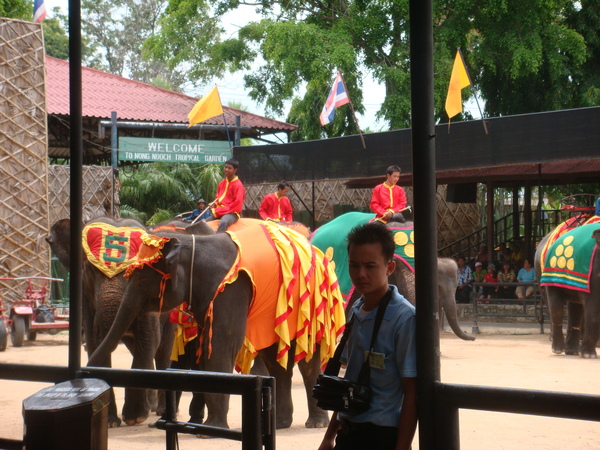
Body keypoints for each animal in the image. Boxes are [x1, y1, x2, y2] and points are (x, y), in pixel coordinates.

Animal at [45, 217, 177, 426]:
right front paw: (110, 422)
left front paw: (134, 418)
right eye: (89, 270)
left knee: (162, 350)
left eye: (137, 269)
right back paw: (151, 406)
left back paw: (161, 410)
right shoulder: (86, 299)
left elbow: (149, 340)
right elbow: (95, 343)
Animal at [86, 223, 344, 430]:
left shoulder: (230, 290)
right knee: (276, 362)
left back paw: (315, 424)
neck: (192, 244)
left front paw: (210, 429)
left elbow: (221, 346)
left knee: (308, 362)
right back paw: (280, 424)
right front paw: (207, 426)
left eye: (140, 280)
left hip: (313, 305)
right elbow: (204, 347)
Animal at [536, 223, 600, 356]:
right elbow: (593, 306)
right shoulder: (593, 274)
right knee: (556, 308)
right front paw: (588, 355)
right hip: (549, 274)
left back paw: (572, 351)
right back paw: (558, 349)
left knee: (575, 307)